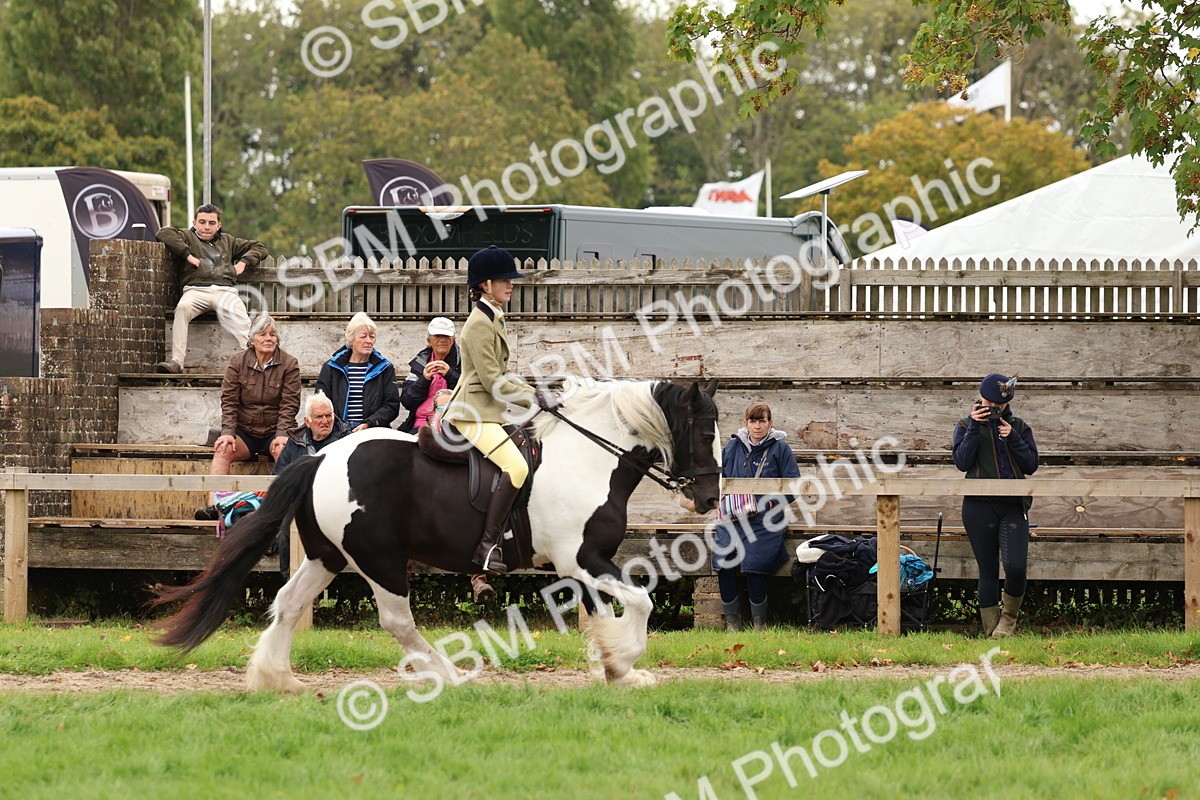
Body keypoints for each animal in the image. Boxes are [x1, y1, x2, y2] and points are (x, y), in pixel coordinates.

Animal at [153, 379, 721, 691]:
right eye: (702, 430)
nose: (708, 499)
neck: (588, 456)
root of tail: (319, 457)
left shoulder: (588, 563)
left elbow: (606, 613)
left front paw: (618, 670)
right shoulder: (579, 558)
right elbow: (641, 601)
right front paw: (624, 662)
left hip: (326, 557)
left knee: (289, 604)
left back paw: (278, 678)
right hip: (380, 560)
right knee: (396, 621)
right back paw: (447, 674)